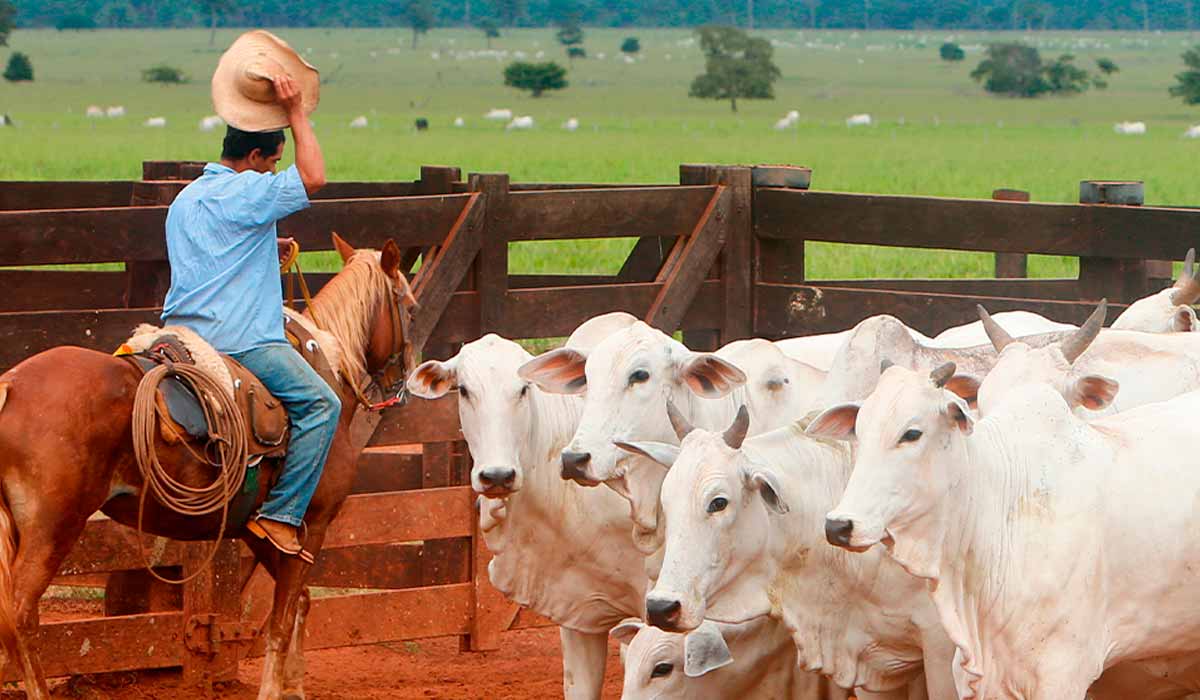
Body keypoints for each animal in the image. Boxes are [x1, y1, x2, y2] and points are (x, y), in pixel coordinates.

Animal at [0, 234, 417, 700]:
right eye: (411, 309)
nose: (403, 382)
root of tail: (12, 385)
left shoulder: (264, 532)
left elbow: (301, 604)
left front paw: (293, 686)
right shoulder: (312, 525)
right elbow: (281, 620)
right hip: (53, 527)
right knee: (20, 616)